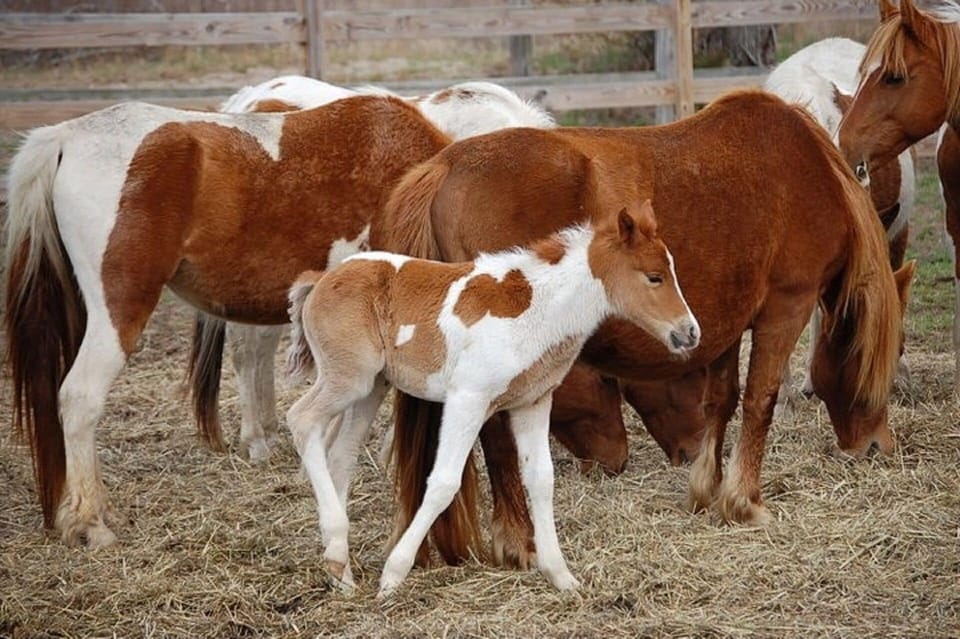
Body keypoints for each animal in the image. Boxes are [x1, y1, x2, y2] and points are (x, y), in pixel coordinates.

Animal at [285, 195, 699, 597]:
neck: (538, 311)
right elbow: (444, 482)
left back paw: (340, 570)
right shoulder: (468, 398)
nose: (690, 332)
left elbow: (541, 480)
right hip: (349, 379)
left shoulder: (533, 403)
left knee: (341, 455)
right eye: (654, 277)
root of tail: (323, 279)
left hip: (372, 388)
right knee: (301, 419)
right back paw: (339, 553)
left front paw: (561, 575)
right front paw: (394, 574)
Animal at [371, 89, 913, 569]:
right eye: (892, 353)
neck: (808, 173)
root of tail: (445, 166)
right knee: (497, 439)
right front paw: (744, 502)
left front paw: (706, 489)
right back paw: (519, 543)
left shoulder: (723, 322)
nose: (876, 447)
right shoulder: (785, 308)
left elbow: (721, 400)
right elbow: (760, 401)